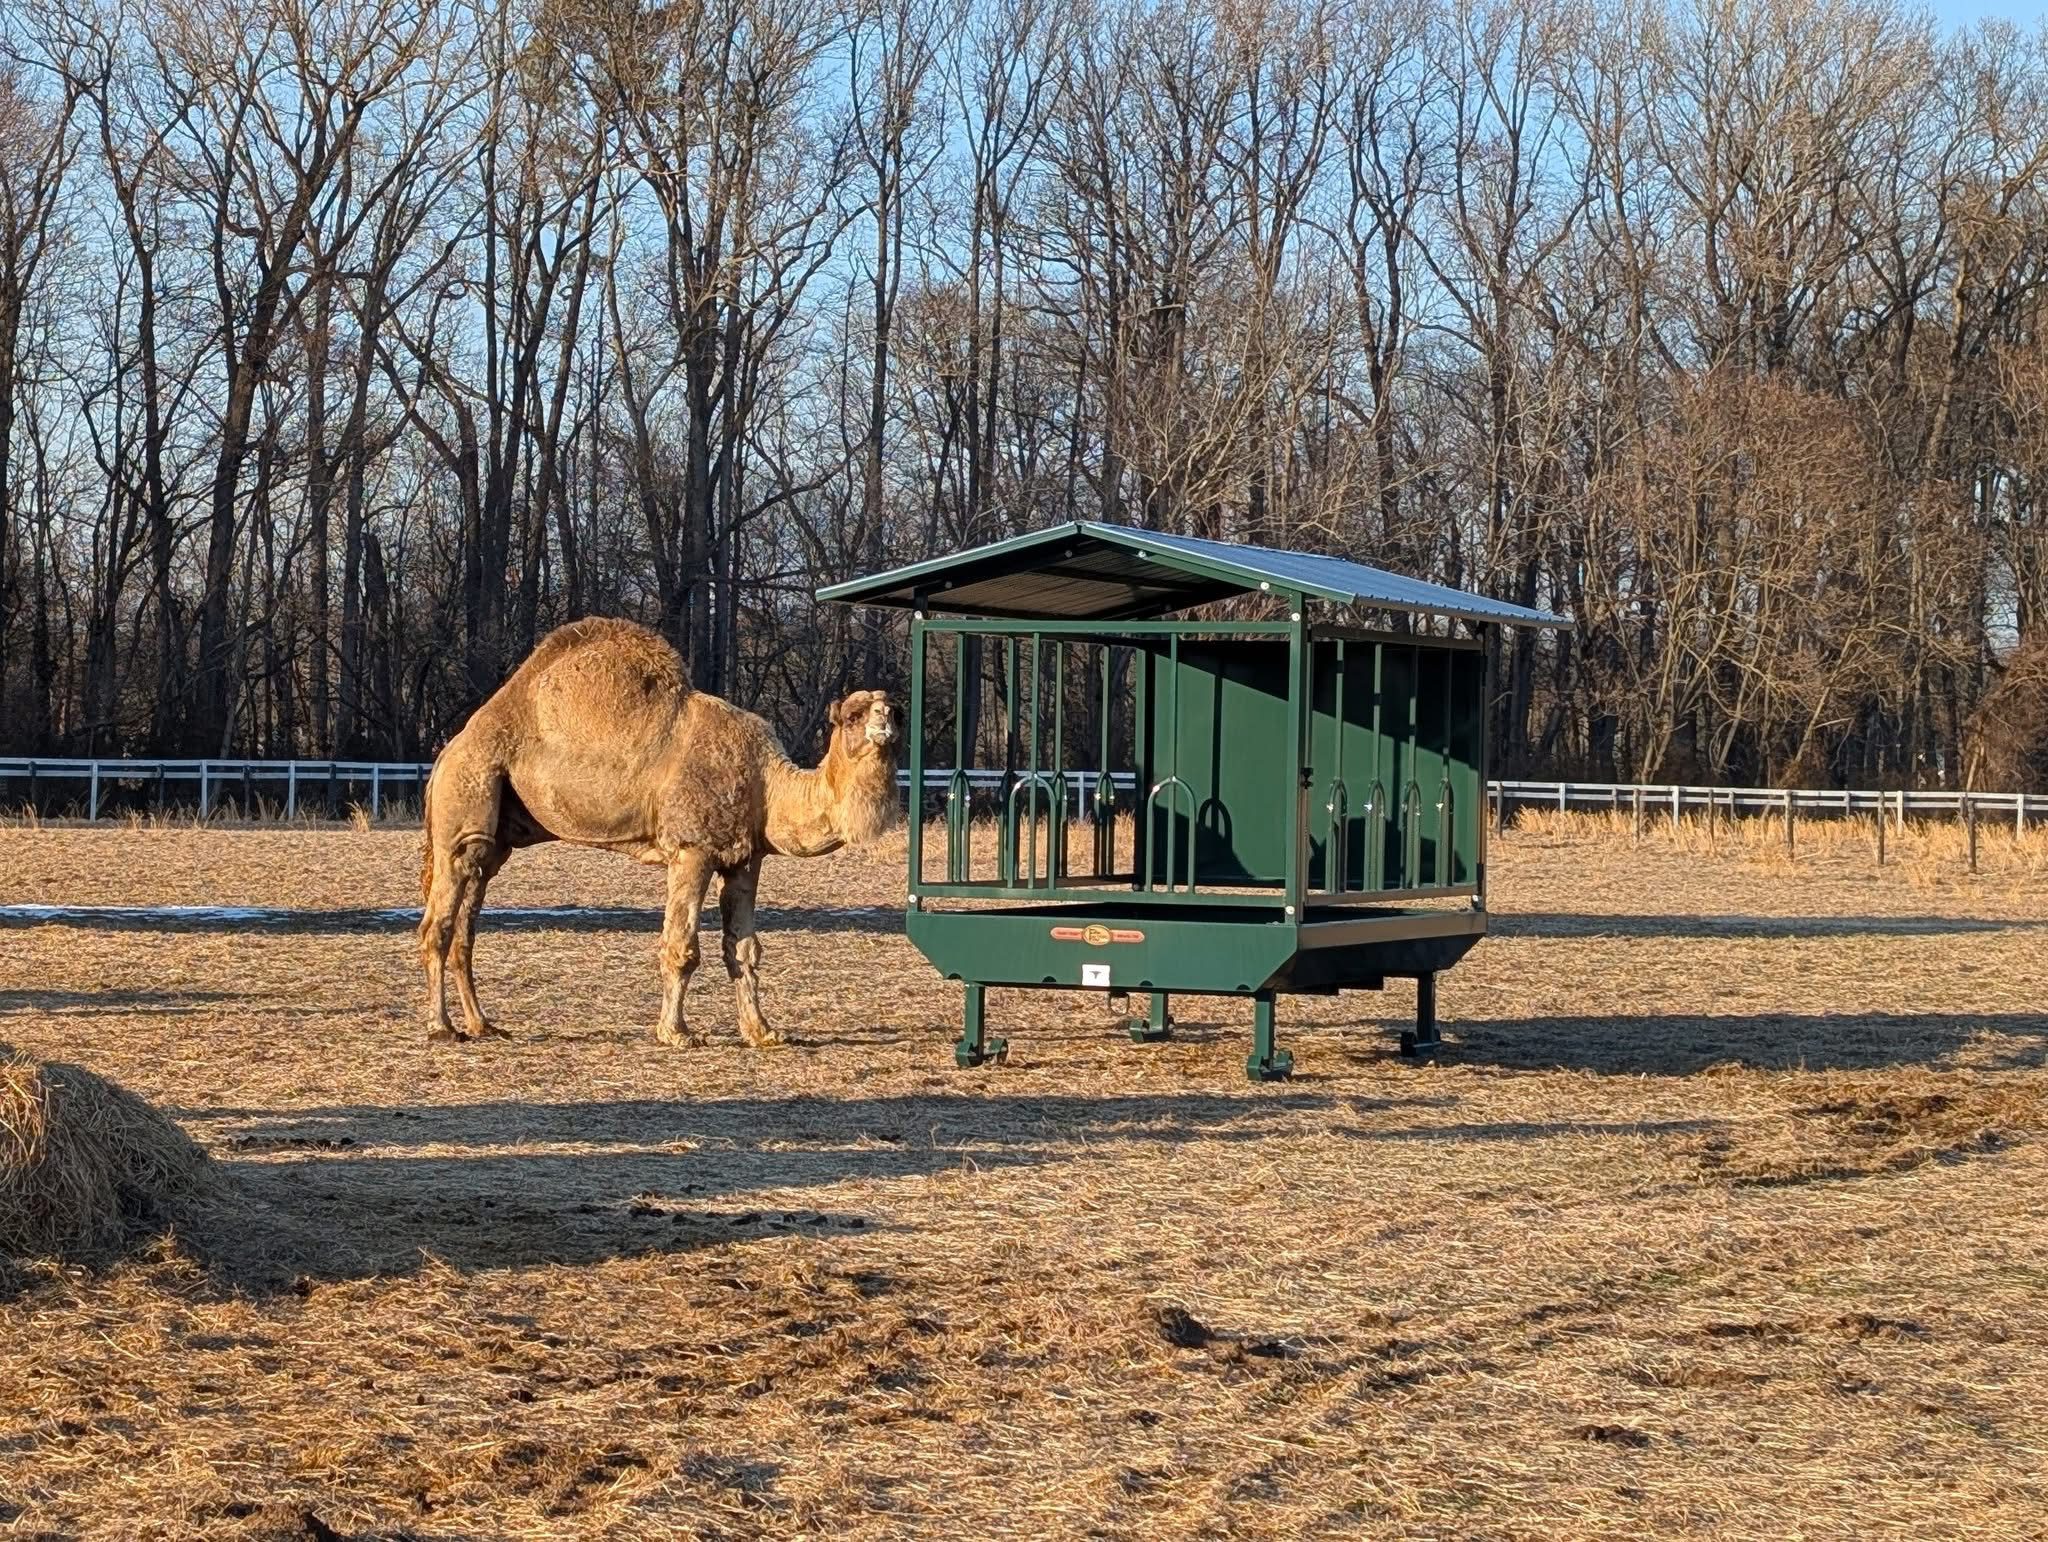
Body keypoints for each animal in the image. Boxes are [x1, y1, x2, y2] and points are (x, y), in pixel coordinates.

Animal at [417, 617, 901, 1046]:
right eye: (853, 715)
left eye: (893, 708)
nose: (885, 722)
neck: (766, 783)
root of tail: (448, 752)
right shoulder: (693, 849)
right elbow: (682, 947)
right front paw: (677, 1033)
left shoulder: (744, 859)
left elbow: (743, 949)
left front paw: (763, 1032)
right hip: (468, 795)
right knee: (439, 923)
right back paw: (441, 1028)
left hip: (494, 836)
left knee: (468, 923)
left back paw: (483, 1025)